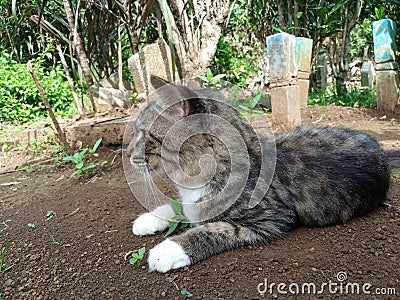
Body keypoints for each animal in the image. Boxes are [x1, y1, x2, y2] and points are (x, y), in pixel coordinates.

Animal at [126, 74, 390, 272]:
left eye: (144, 134)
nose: (127, 153)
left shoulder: (272, 218)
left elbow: (215, 229)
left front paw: (169, 249)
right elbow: (180, 207)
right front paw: (150, 219)